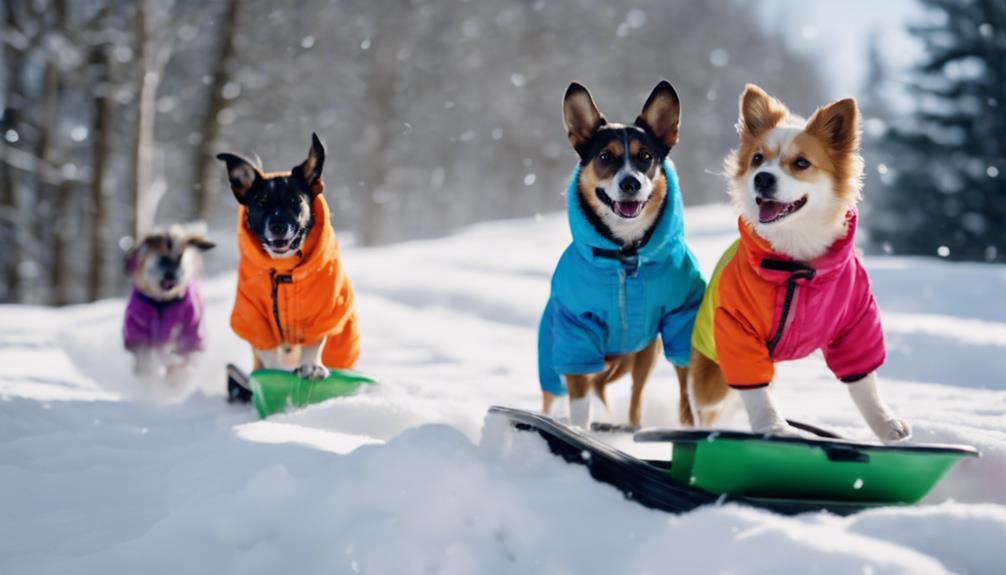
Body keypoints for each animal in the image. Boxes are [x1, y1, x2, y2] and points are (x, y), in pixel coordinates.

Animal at [539, 82, 704, 428]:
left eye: (646, 157)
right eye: (605, 157)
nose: (631, 183)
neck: (626, 253)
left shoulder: (680, 317)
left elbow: (685, 383)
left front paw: (692, 424)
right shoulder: (576, 329)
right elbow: (579, 398)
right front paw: (579, 428)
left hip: (644, 354)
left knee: (634, 398)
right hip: (551, 356)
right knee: (556, 393)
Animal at [684, 84, 913, 440]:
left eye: (802, 163)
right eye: (757, 159)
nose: (762, 178)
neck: (796, 262)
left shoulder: (857, 321)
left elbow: (864, 383)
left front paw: (885, 423)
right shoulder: (736, 330)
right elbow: (756, 391)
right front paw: (773, 427)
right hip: (711, 374)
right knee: (707, 407)